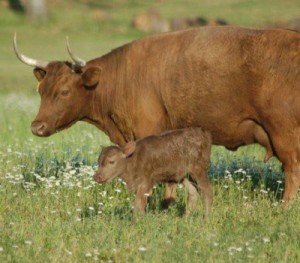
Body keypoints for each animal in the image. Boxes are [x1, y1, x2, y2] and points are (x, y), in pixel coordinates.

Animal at [14, 26, 300, 204]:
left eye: (64, 91)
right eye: (41, 89)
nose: (37, 127)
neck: (119, 78)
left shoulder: (151, 133)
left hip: (282, 133)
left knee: (292, 169)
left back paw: (284, 208)